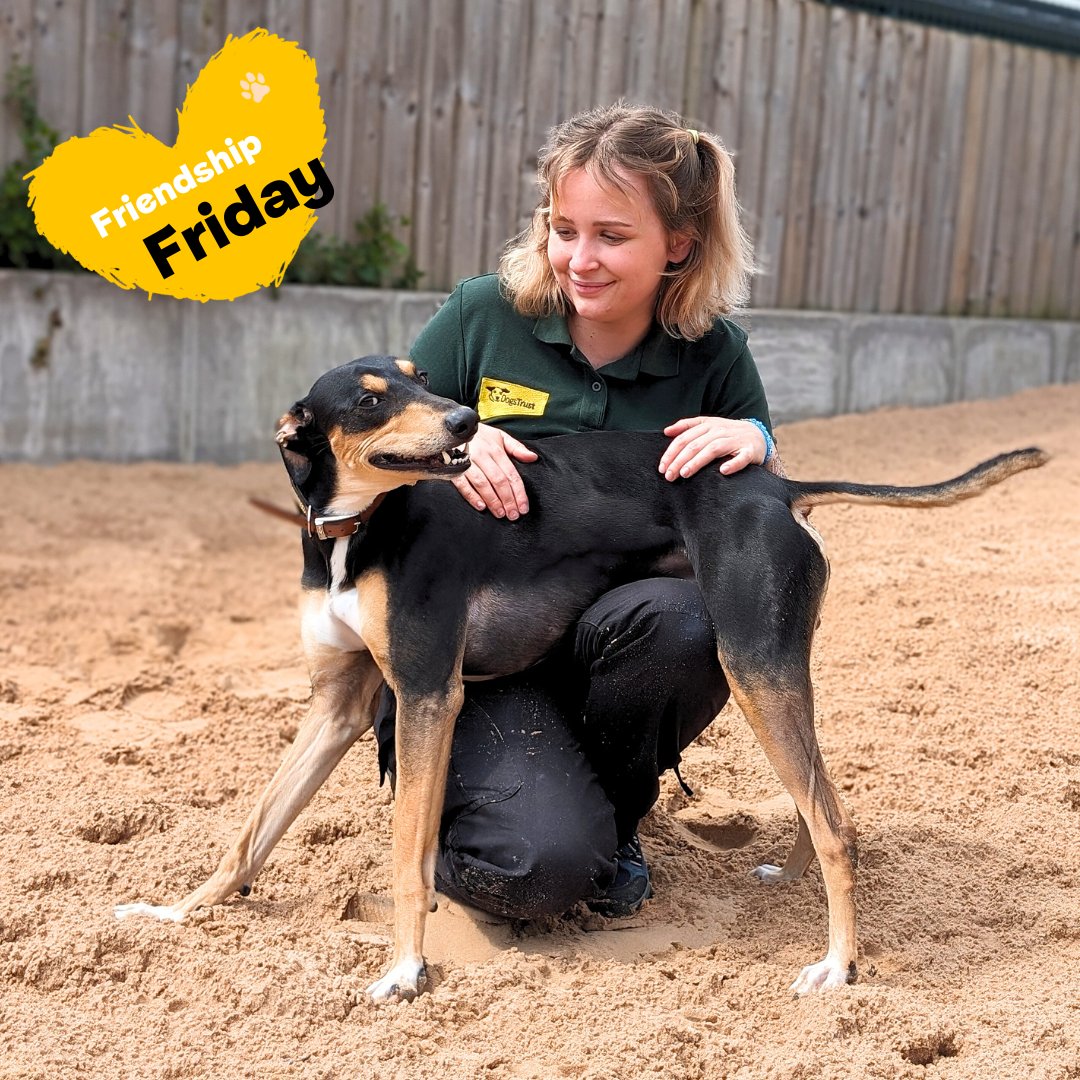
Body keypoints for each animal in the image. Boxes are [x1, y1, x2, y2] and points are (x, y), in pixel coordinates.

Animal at [116, 358, 1045, 997]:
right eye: (374, 397)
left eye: (422, 379)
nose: (465, 420)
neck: (359, 532)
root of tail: (777, 487)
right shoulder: (341, 705)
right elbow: (249, 833)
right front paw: (174, 913)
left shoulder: (426, 693)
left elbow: (408, 853)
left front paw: (408, 969)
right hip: (771, 667)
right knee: (826, 808)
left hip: (757, 666)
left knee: (835, 827)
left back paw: (839, 967)